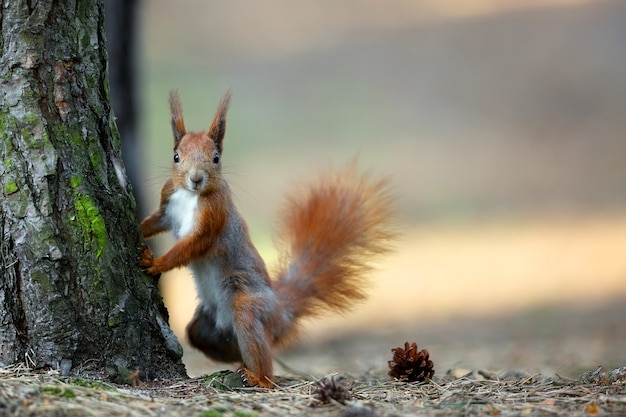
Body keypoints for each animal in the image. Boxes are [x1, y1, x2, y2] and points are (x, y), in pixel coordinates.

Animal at [140, 88, 394, 386]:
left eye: (216, 157)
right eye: (176, 156)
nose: (196, 178)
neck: (189, 196)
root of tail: (281, 314)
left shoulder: (212, 219)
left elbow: (189, 247)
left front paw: (155, 263)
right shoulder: (167, 205)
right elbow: (155, 221)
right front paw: (140, 229)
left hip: (250, 308)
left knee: (263, 354)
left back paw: (257, 377)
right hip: (206, 328)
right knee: (214, 337)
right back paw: (241, 364)